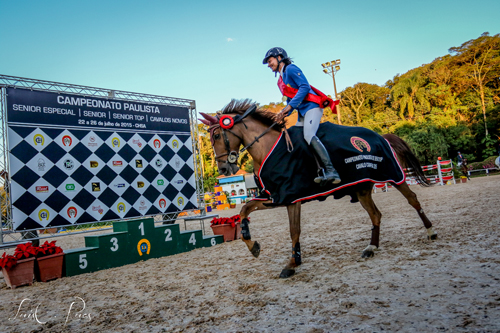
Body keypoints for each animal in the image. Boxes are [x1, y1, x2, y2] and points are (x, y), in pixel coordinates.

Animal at [199, 99, 438, 278]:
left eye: (218, 135)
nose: (224, 168)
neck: (267, 147)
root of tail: (381, 136)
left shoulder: (291, 197)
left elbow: (294, 230)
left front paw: (292, 263)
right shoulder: (276, 196)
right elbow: (244, 210)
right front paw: (253, 245)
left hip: (393, 176)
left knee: (413, 199)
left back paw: (431, 231)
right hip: (362, 188)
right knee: (376, 215)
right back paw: (371, 247)